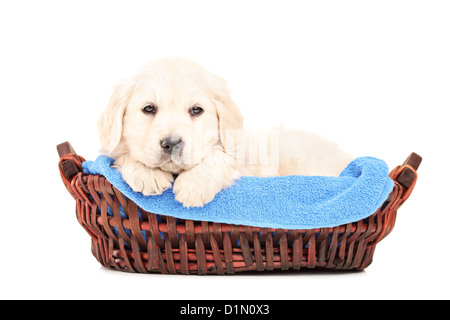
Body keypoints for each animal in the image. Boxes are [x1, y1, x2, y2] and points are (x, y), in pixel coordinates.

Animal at [97, 57, 352, 208]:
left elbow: (221, 156)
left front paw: (194, 185)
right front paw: (147, 174)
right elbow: (119, 156)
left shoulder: (245, 156)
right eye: (148, 109)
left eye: (196, 110)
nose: (172, 144)